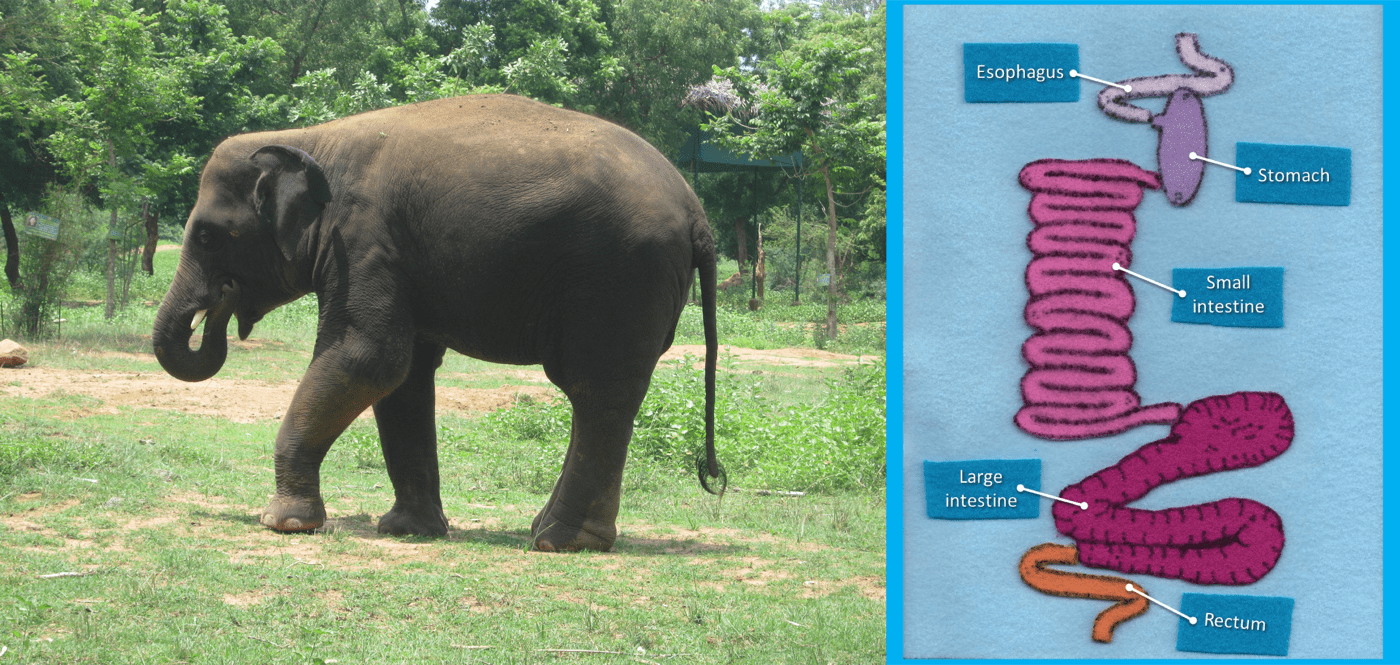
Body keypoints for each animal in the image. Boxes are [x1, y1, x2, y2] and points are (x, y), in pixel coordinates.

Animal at [153, 93, 722, 551]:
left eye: (206, 235)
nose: (221, 301)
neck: (310, 138)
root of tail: (698, 214)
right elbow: (403, 377)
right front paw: (407, 531)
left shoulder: (363, 240)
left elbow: (369, 358)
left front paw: (284, 524)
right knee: (598, 396)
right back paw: (544, 530)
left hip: (619, 279)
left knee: (596, 390)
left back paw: (560, 543)